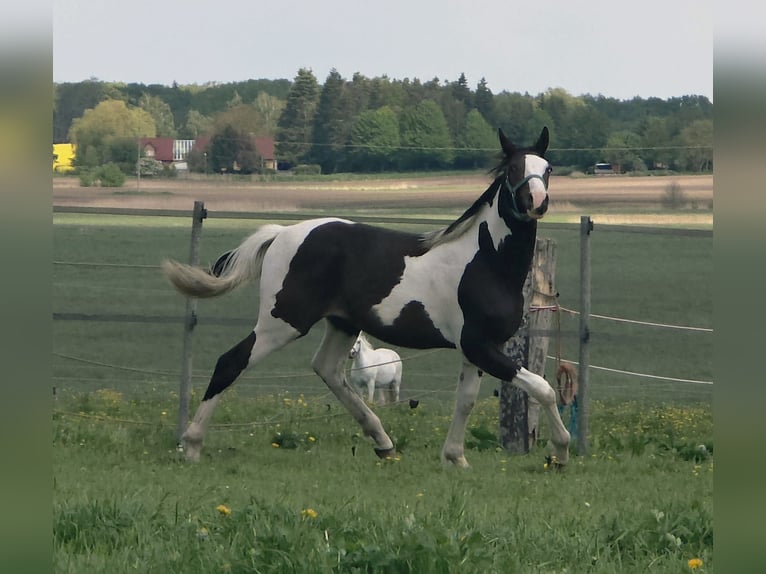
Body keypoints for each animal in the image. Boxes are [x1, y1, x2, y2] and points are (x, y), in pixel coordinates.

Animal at [163, 126, 570, 468]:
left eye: (547, 168)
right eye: (514, 169)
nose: (537, 200)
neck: (485, 261)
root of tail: (281, 234)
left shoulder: (477, 349)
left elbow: (466, 400)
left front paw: (455, 458)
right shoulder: (480, 346)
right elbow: (544, 389)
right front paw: (560, 452)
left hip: (342, 324)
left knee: (328, 370)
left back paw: (383, 443)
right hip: (283, 322)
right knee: (231, 362)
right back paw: (192, 445)